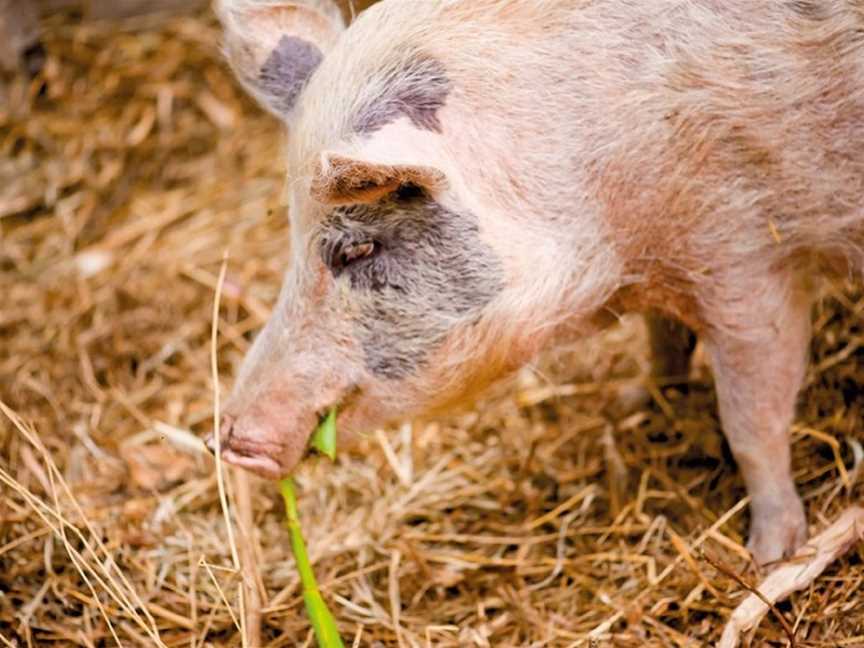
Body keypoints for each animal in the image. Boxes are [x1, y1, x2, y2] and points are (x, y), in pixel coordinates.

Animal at [213, 0, 864, 568]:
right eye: (292, 232)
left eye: (357, 248)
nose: (230, 439)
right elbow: (665, 339)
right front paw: (635, 400)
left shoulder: (746, 257)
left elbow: (752, 422)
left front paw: (771, 553)